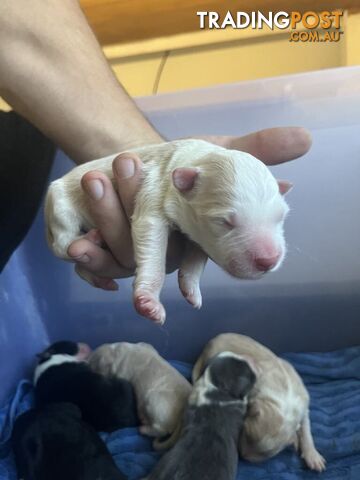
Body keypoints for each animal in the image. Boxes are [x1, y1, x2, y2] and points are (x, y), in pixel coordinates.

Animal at [45, 141, 292, 324]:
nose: (269, 260)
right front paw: (149, 303)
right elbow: (152, 244)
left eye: (280, 217)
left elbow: (196, 258)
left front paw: (191, 288)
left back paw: (100, 277)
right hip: (61, 206)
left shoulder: (196, 233)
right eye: (224, 222)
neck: (196, 159)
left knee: (80, 266)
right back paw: (90, 238)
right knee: (63, 246)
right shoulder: (155, 192)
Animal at [194, 332, 326, 470]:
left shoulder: (303, 406)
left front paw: (312, 455)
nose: (242, 456)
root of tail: (207, 347)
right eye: (245, 431)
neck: (283, 400)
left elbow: (306, 430)